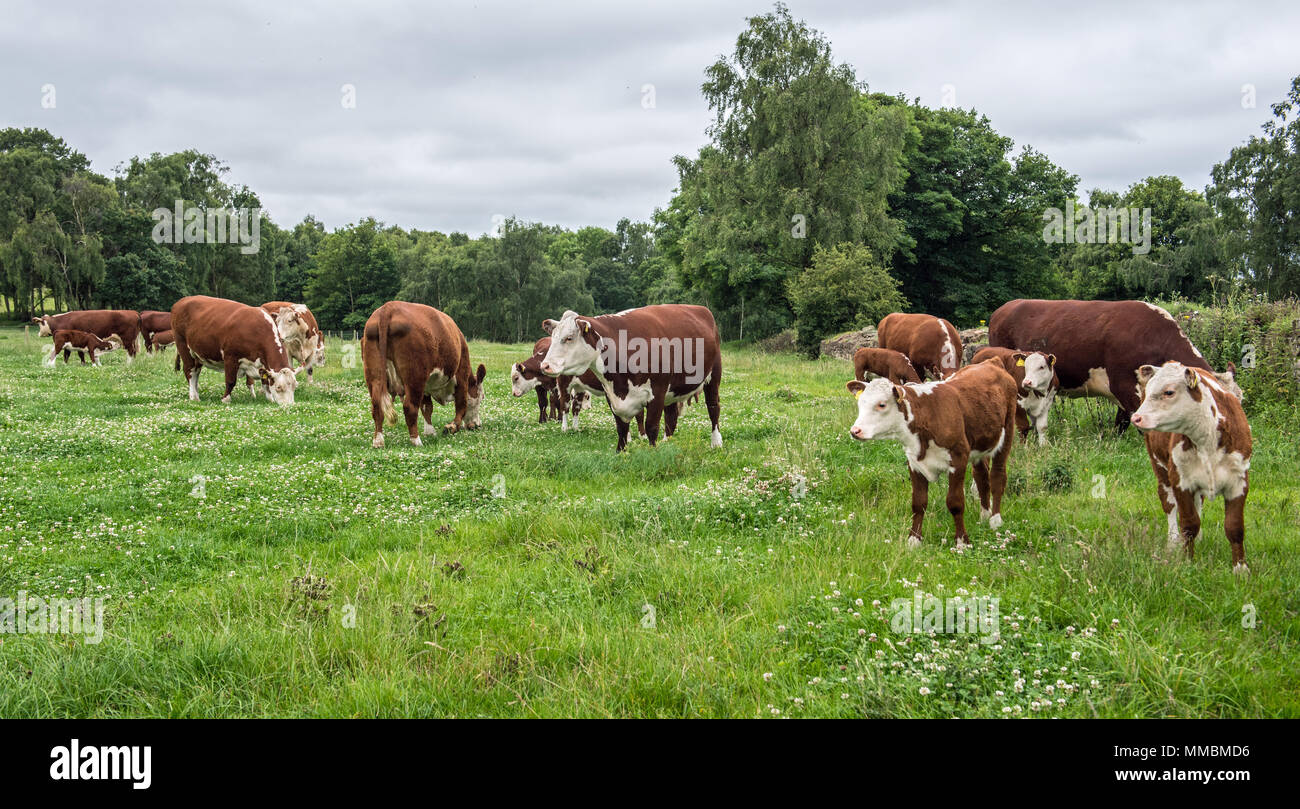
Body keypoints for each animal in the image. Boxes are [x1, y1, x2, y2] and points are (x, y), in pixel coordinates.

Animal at [171, 295, 300, 405]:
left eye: (295, 386)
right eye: (279, 387)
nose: (289, 406)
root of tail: (182, 301)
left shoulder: (263, 364)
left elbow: (265, 383)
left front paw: (270, 399)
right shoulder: (230, 357)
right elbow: (231, 381)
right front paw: (226, 399)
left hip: (197, 353)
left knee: (196, 372)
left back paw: (196, 394)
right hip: (183, 346)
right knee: (190, 371)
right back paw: (194, 397)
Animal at [362, 301, 485, 447]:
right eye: (481, 397)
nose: (477, 425)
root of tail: (388, 308)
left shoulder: (426, 386)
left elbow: (427, 407)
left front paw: (430, 431)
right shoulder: (461, 376)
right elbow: (462, 405)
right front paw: (451, 427)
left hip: (374, 375)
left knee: (377, 406)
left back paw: (378, 441)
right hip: (415, 377)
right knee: (409, 407)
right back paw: (416, 441)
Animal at [538, 305, 722, 452]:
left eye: (569, 338)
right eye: (553, 338)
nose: (545, 365)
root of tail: (702, 309)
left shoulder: (657, 392)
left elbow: (651, 427)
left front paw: (652, 453)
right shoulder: (612, 394)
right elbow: (621, 428)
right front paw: (621, 453)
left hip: (713, 376)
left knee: (713, 408)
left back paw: (716, 442)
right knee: (671, 417)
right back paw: (667, 442)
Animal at [846, 359, 1019, 547]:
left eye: (882, 404)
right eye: (860, 403)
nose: (855, 431)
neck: (927, 415)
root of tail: (992, 362)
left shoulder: (958, 459)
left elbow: (955, 502)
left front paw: (962, 541)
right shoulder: (914, 463)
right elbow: (918, 503)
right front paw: (914, 540)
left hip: (1007, 434)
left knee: (997, 477)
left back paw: (995, 520)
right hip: (980, 445)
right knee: (982, 477)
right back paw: (985, 515)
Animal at [1131, 361, 1251, 574]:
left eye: (1169, 392)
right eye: (1151, 388)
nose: (1136, 417)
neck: (1207, 438)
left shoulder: (1239, 482)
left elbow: (1234, 527)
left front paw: (1241, 569)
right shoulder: (1181, 480)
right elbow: (1189, 524)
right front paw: (1187, 561)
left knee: (1199, 502)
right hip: (1160, 468)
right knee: (1169, 503)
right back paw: (1173, 541)